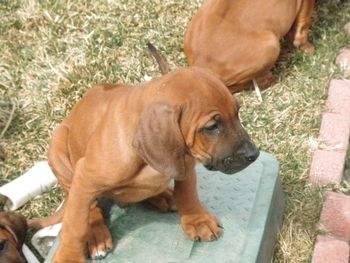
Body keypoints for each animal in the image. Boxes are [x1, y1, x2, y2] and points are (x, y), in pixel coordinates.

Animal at [43, 67, 258, 262]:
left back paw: (164, 196)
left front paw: (197, 219)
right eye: (212, 127)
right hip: (58, 150)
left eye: (237, 113)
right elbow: (76, 225)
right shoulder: (85, 178)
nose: (254, 155)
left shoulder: (186, 162)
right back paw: (96, 234)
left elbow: (187, 192)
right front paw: (69, 256)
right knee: (91, 207)